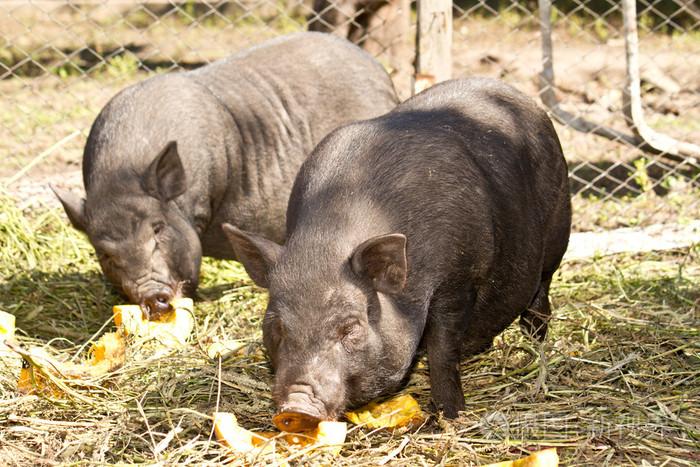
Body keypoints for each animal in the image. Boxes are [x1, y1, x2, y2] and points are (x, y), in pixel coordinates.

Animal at [221, 77, 572, 424]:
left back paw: (536, 348)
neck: (328, 239)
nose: (297, 406)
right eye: (278, 327)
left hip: (557, 232)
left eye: (350, 327)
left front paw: (451, 415)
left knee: (541, 295)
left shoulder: (459, 278)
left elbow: (443, 351)